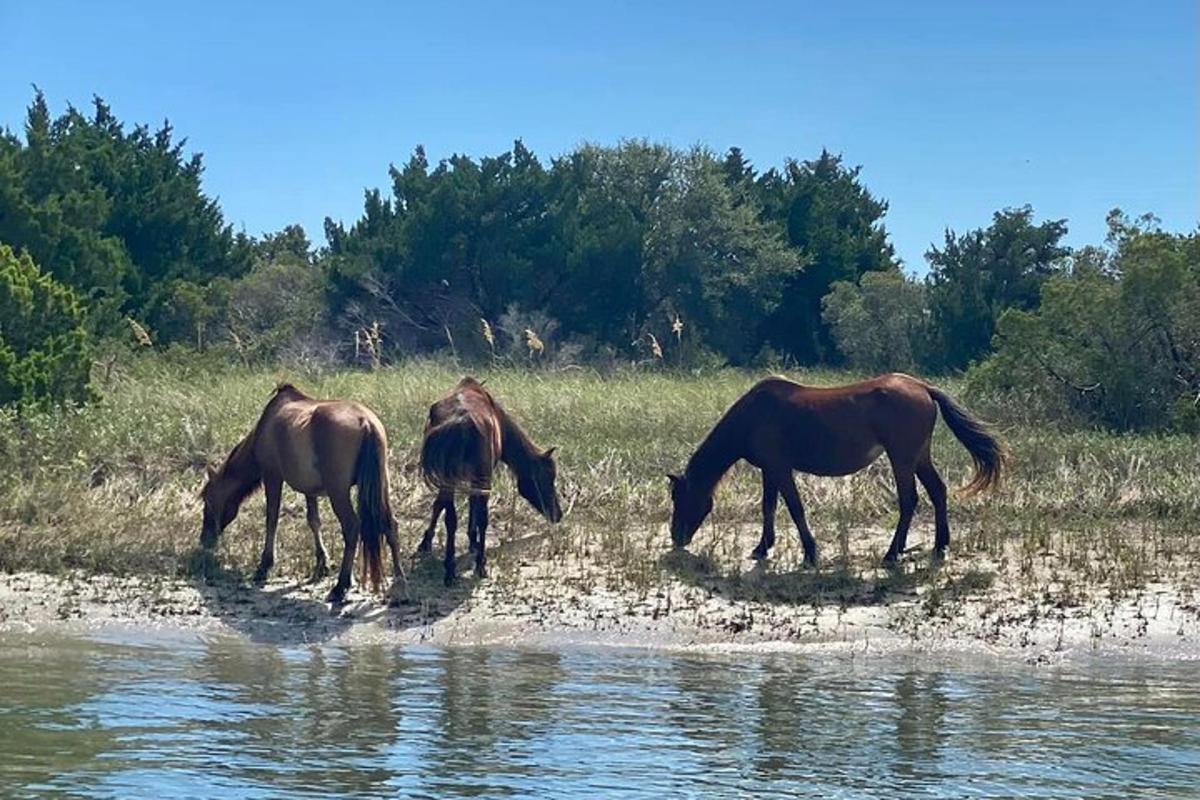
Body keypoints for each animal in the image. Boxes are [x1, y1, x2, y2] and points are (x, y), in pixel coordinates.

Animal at [201, 383, 408, 604]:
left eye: (207, 499)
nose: (204, 540)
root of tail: (366, 422)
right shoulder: (310, 490)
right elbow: (313, 521)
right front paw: (322, 562)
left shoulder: (272, 475)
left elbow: (271, 519)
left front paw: (265, 564)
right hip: (380, 486)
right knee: (391, 525)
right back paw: (399, 582)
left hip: (338, 490)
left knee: (352, 527)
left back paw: (341, 586)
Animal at [420, 379, 564, 585]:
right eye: (547, 477)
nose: (557, 514)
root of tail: (460, 423)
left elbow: (440, 505)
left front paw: (427, 541)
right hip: (480, 477)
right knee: (482, 517)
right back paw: (480, 564)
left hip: (451, 478)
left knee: (451, 518)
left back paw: (450, 569)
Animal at [672, 374, 1008, 566]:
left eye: (679, 498)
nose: (676, 538)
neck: (754, 415)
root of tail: (923, 387)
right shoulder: (770, 470)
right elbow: (768, 507)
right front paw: (762, 547)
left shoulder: (780, 469)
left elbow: (795, 508)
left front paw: (810, 552)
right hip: (919, 457)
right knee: (938, 491)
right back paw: (939, 546)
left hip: (902, 458)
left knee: (909, 500)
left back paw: (892, 553)